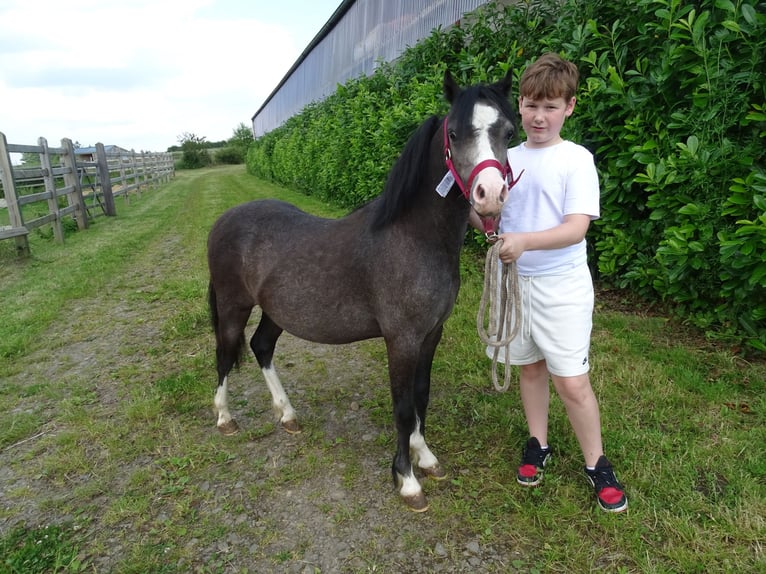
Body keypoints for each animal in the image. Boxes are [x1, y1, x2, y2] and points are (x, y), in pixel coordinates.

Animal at [207, 68, 520, 512]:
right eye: (455, 133)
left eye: (508, 132)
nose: (490, 196)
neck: (414, 236)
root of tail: (224, 220)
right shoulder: (401, 340)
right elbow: (403, 407)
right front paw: (407, 481)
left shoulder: (430, 335)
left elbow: (421, 397)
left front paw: (426, 458)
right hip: (233, 305)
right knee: (224, 353)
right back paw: (225, 418)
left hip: (277, 311)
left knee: (261, 346)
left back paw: (287, 415)